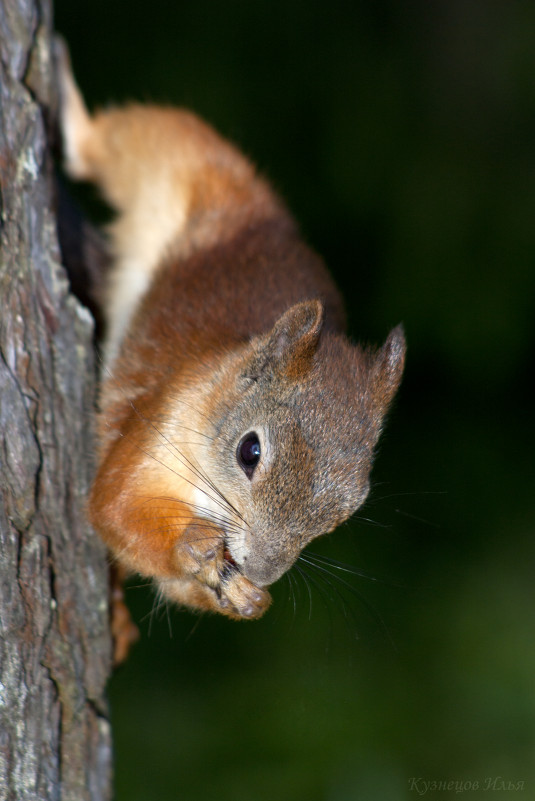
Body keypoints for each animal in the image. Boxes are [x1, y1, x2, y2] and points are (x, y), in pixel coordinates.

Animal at [56, 42, 406, 624]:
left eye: (349, 507)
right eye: (250, 451)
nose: (262, 570)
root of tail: (260, 212)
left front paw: (246, 596)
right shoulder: (160, 420)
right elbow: (114, 508)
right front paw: (191, 547)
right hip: (176, 152)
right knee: (99, 144)